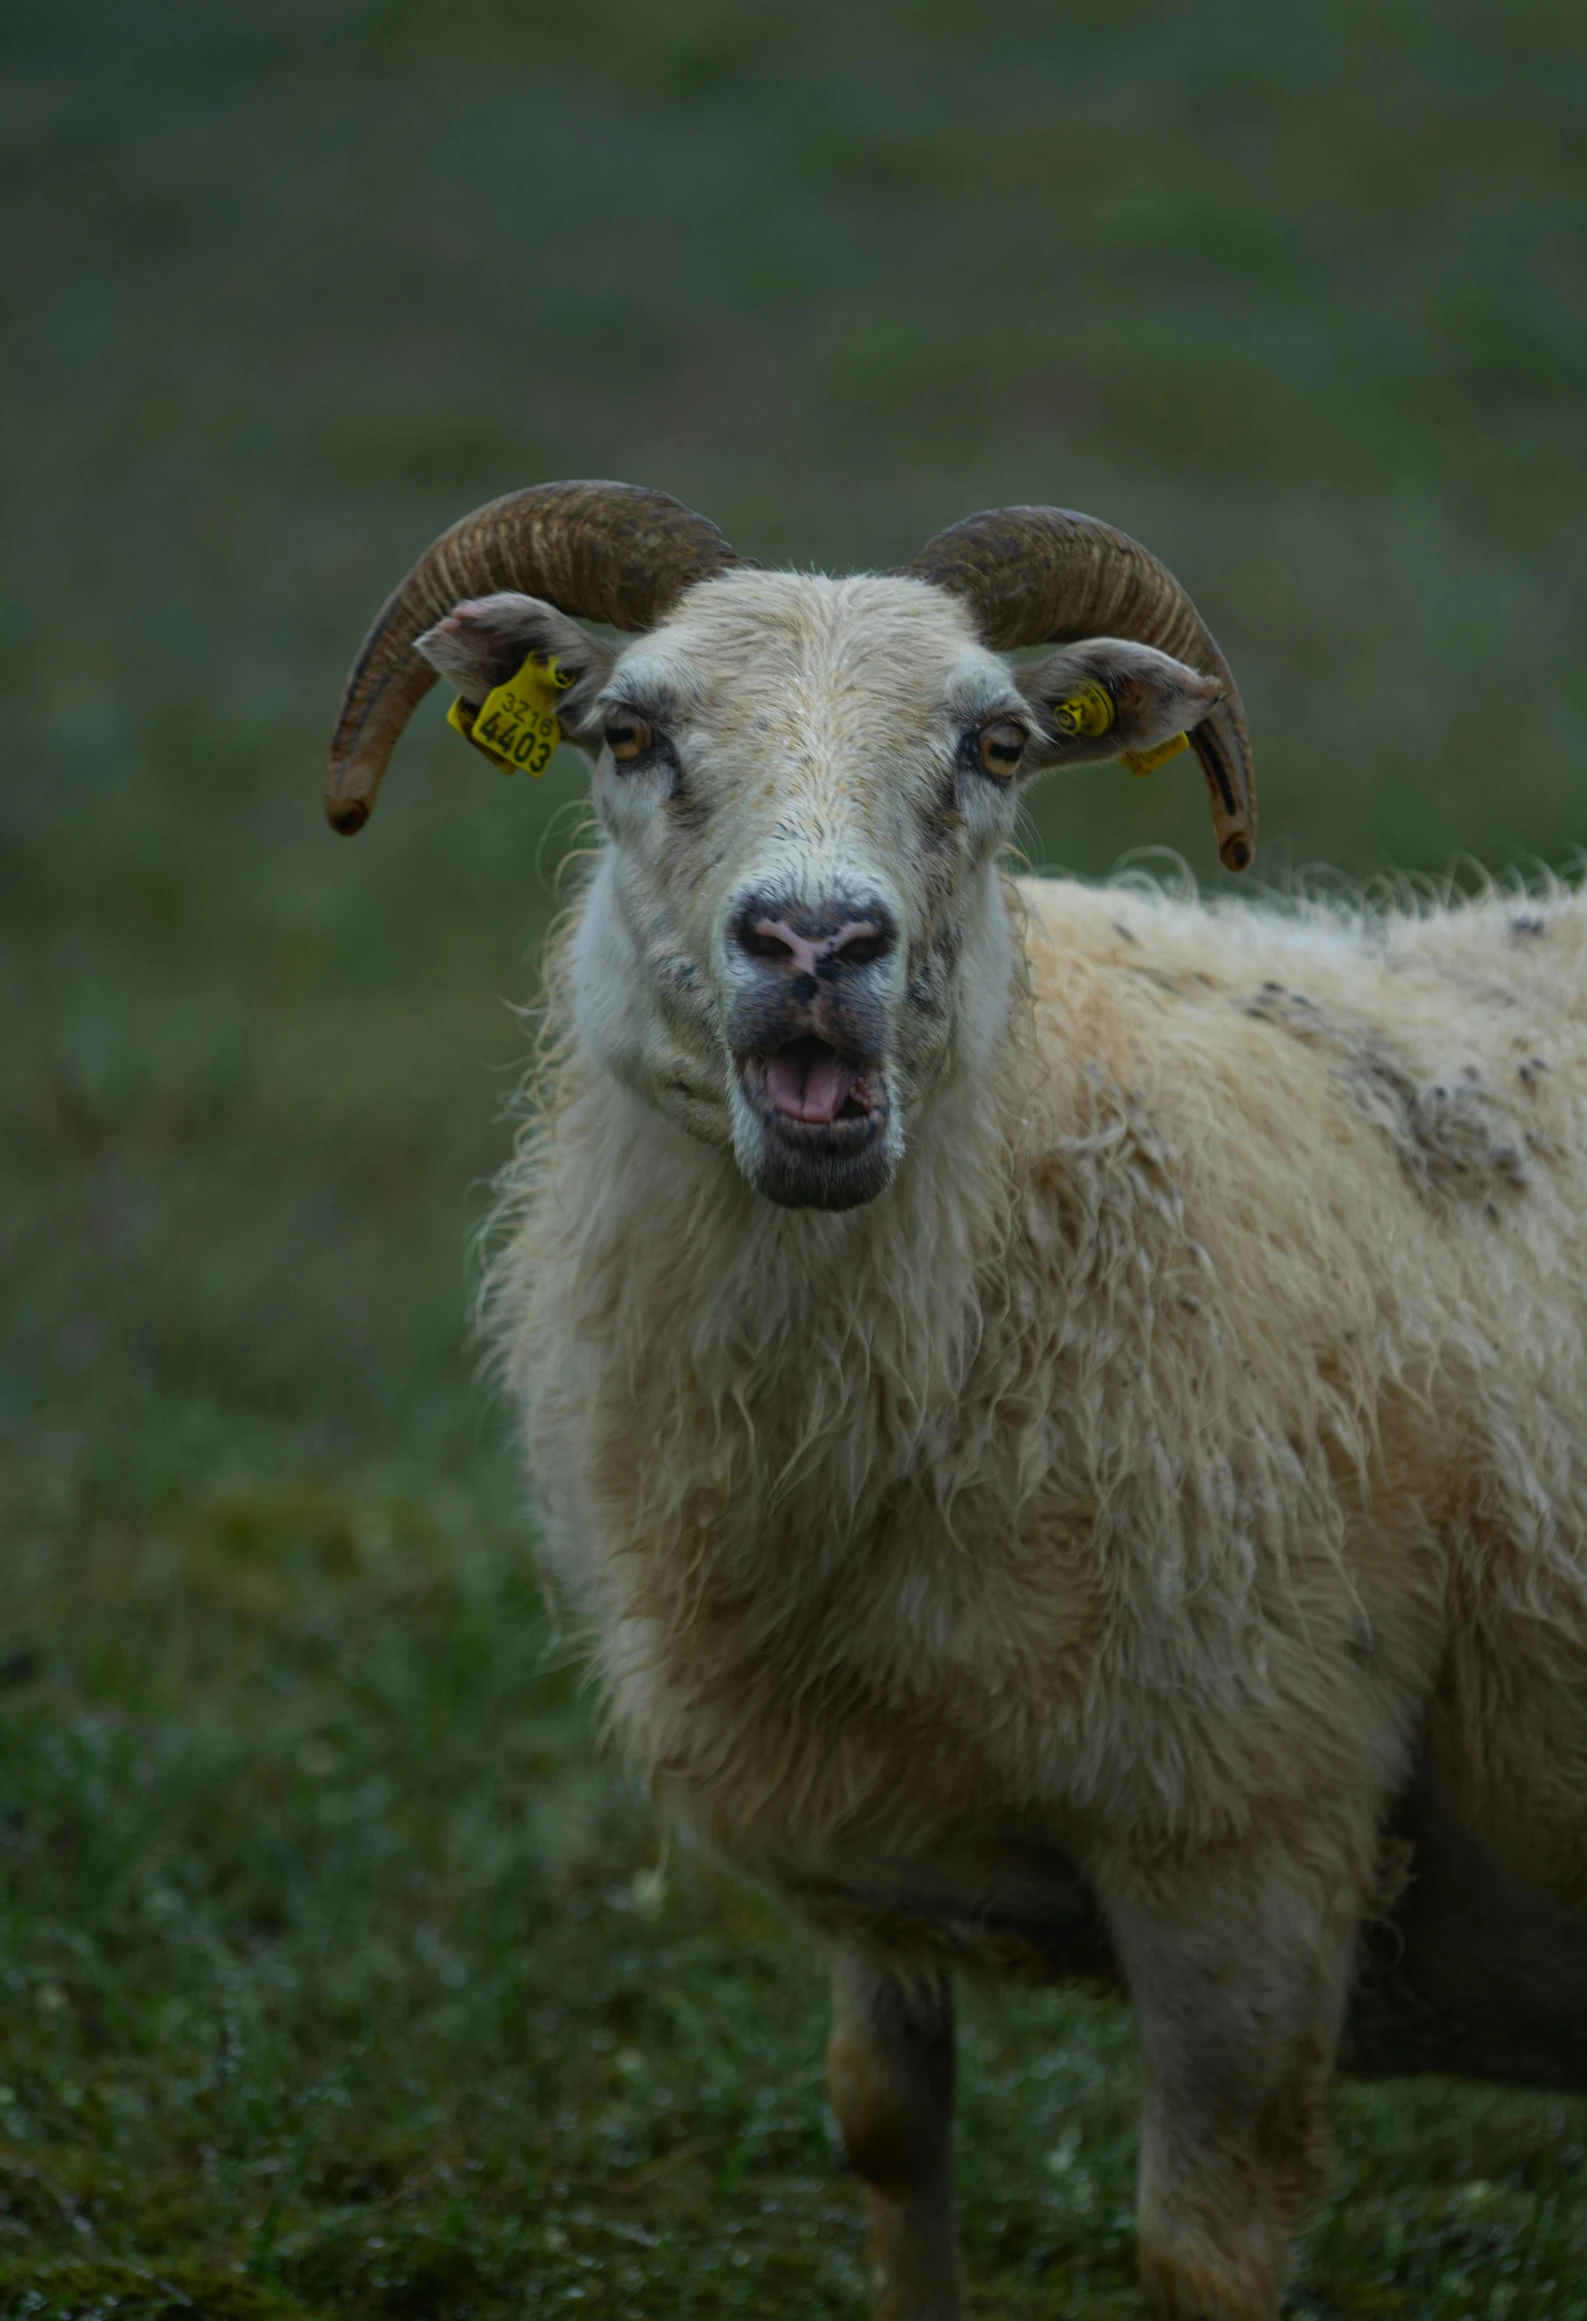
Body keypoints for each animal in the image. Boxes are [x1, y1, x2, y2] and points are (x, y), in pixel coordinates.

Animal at [322, 485, 1587, 2321]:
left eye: (993, 745)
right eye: (625, 731)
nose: (815, 944)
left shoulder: (1252, 1847)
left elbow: (1198, 2255)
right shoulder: (870, 1828)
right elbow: (883, 2134)